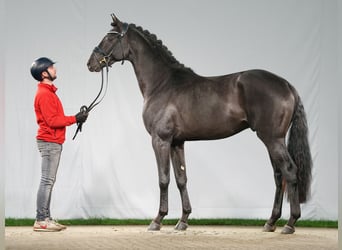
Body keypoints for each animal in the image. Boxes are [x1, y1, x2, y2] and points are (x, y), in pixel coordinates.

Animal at [87, 13, 312, 233]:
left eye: (109, 37)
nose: (90, 64)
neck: (162, 83)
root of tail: (287, 85)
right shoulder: (177, 142)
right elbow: (181, 179)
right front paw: (183, 220)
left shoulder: (160, 140)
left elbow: (163, 179)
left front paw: (157, 220)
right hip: (273, 140)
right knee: (279, 176)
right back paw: (270, 222)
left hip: (272, 139)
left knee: (290, 172)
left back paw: (290, 223)